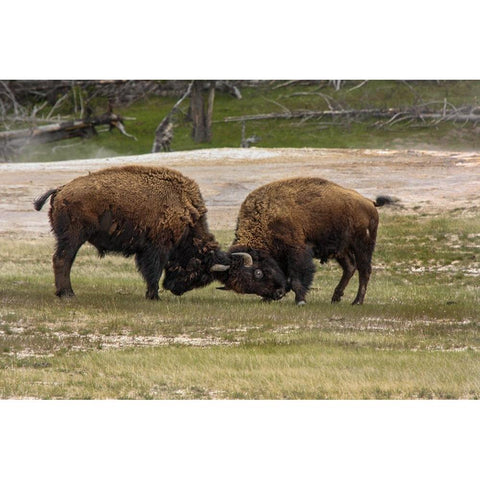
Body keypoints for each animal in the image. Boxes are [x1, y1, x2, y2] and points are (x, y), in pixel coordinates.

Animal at [34, 166, 288, 300]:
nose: (176, 290)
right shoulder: (156, 248)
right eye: (198, 271)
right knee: (63, 260)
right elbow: (153, 271)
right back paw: (67, 293)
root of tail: (61, 189)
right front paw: (153, 295)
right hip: (73, 238)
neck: (185, 210)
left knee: (61, 260)